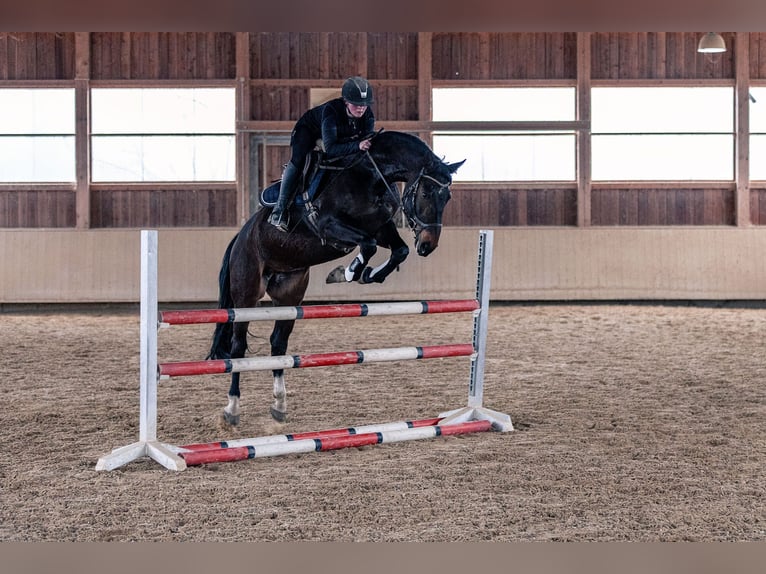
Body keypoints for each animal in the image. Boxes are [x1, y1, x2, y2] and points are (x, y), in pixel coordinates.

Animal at [207, 132, 464, 428]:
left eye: (447, 197)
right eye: (425, 192)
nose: (428, 245)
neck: (369, 176)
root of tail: (239, 238)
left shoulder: (380, 227)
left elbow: (398, 250)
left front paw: (368, 275)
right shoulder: (329, 226)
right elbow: (369, 245)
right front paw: (348, 271)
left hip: (289, 295)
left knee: (278, 343)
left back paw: (279, 404)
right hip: (246, 295)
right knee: (238, 349)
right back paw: (232, 408)